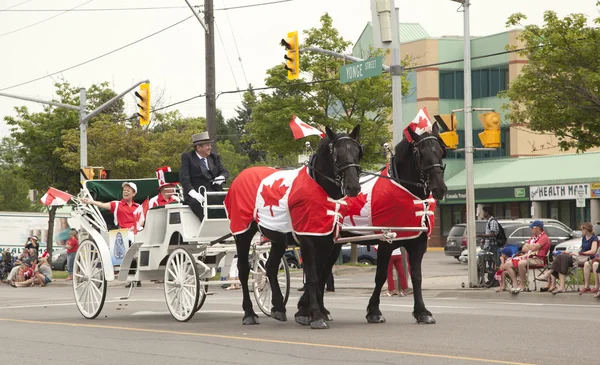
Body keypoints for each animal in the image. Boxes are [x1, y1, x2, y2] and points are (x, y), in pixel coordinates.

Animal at [224, 126, 360, 328]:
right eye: (336, 155)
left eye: (358, 151)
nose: (353, 187)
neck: (319, 189)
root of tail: (241, 175)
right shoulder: (307, 240)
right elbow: (312, 277)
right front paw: (316, 316)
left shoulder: (326, 242)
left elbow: (320, 274)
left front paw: (307, 311)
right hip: (243, 234)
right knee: (243, 270)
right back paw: (249, 313)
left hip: (278, 237)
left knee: (271, 267)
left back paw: (279, 307)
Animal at [298, 123, 448, 326]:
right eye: (421, 153)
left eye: (441, 151)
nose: (440, 188)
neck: (404, 191)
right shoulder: (386, 242)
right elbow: (381, 276)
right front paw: (374, 311)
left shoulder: (418, 243)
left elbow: (417, 276)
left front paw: (422, 312)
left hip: (332, 245)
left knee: (323, 271)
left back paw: (321, 310)